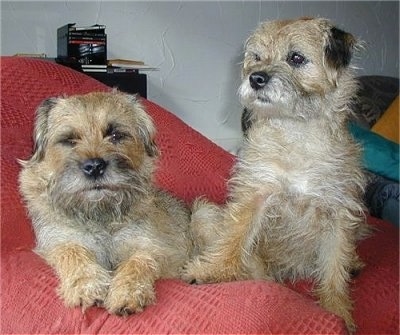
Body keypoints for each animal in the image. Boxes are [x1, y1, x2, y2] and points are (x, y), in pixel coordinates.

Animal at [19, 90, 193, 316]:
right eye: (69, 140)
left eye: (116, 135)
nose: (94, 167)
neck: (99, 213)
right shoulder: (60, 240)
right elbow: (73, 253)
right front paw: (87, 286)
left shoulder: (149, 245)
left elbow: (138, 262)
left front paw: (128, 292)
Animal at [181, 16, 372, 334]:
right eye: (257, 58)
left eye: (296, 58)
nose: (255, 78)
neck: (298, 132)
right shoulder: (255, 194)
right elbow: (235, 236)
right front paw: (212, 271)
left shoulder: (339, 213)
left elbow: (334, 269)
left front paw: (338, 312)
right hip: (205, 212)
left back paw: (354, 263)